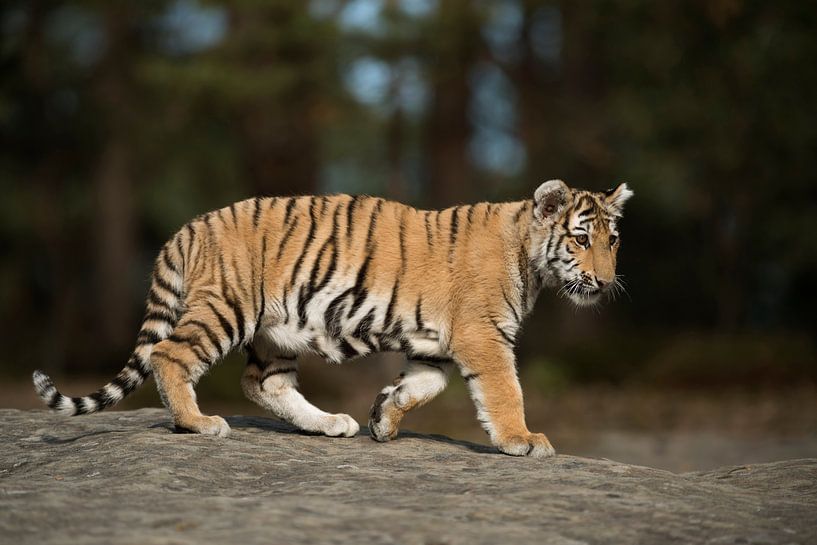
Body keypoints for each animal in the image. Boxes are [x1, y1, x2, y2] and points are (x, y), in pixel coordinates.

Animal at [32, 179, 632, 458]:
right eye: (582, 240)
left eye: (614, 241)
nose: (604, 283)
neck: (530, 257)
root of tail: (188, 227)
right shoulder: (483, 336)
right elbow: (506, 391)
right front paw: (523, 439)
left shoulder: (434, 346)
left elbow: (424, 386)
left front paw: (382, 419)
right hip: (228, 307)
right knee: (169, 355)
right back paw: (199, 423)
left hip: (275, 333)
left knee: (262, 384)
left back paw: (331, 424)